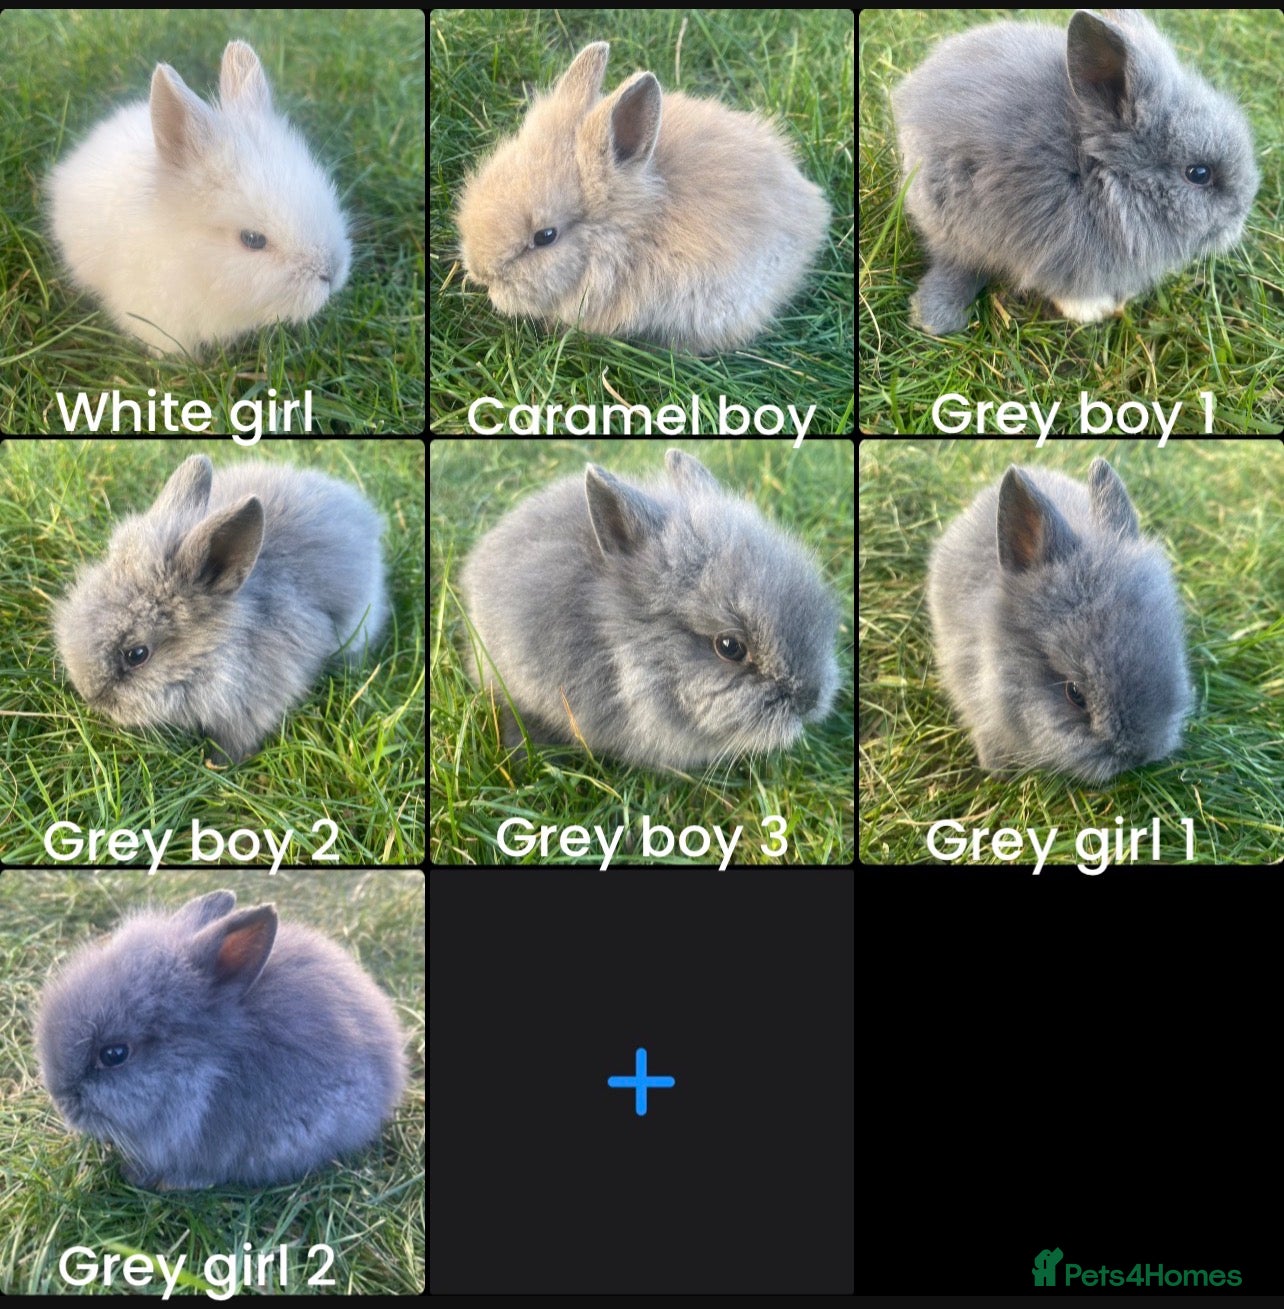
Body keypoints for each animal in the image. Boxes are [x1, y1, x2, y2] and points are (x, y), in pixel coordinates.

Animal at [893, 10, 1259, 334]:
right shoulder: (1062, 248)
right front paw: (1096, 310)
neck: (1099, 172)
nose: (1240, 218)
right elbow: (1067, 289)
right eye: (1199, 173)